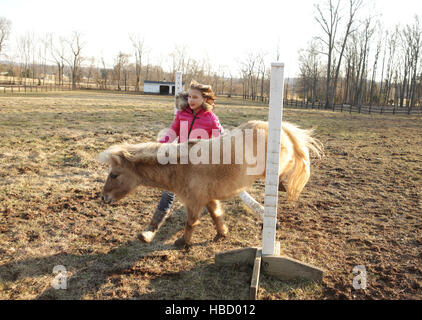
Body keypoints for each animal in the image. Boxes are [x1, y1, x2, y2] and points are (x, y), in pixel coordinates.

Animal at [99, 120, 324, 248]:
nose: (103, 198)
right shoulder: (209, 199)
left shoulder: (194, 202)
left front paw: (182, 242)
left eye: (114, 174)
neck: (182, 166)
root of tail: (280, 128)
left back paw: (281, 185)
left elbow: (190, 222)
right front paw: (221, 234)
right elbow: (217, 216)